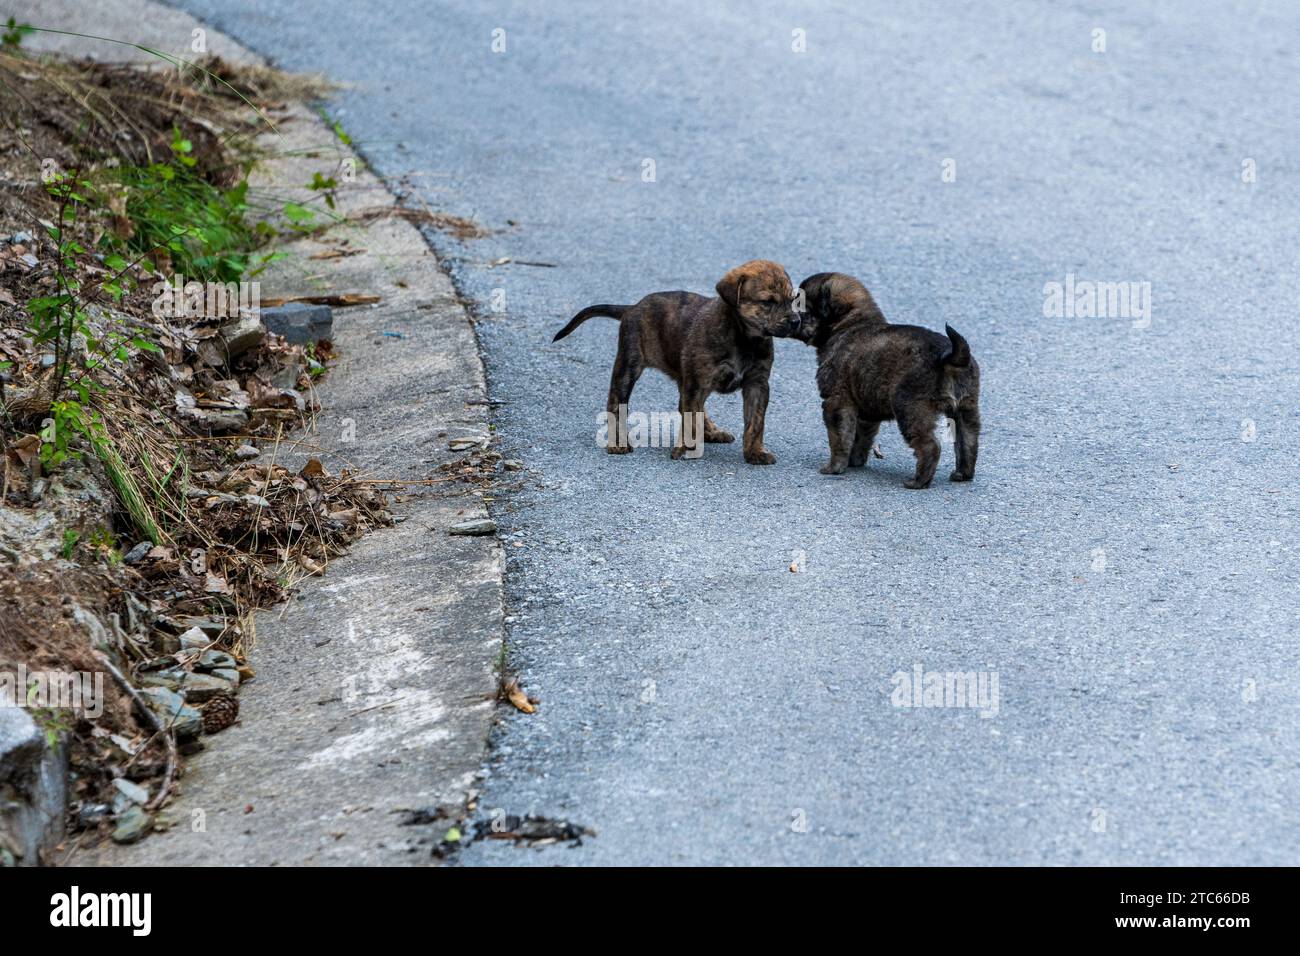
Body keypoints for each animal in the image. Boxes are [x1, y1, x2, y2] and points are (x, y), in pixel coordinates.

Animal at [553, 257, 795, 463]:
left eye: (792, 300)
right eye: (767, 302)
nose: (796, 321)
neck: (744, 338)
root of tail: (632, 307)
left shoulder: (757, 384)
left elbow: (756, 422)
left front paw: (754, 452)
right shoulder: (698, 382)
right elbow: (690, 419)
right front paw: (685, 448)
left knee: (689, 406)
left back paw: (712, 432)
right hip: (628, 365)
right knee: (616, 404)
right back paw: (618, 443)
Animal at [785, 273, 977, 489]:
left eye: (802, 306)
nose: (788, 317)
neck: (849, 324)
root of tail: (948, 355)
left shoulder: (836, 401)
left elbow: (839, 439)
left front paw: (834, 467)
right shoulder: (865, 412)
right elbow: (858, 438)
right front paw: (854, 461)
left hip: (909, 408)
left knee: (930, 446)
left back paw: (918, 481)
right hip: (966, 409)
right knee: (968, 443)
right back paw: (963, 474)